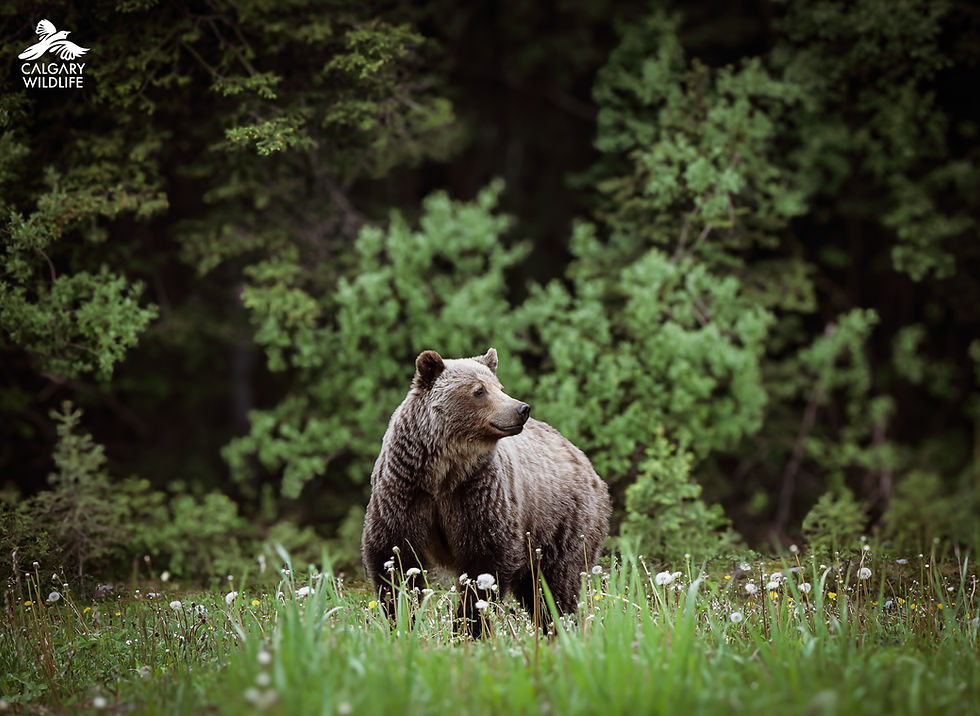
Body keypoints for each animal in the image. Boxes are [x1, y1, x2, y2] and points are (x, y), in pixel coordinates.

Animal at [361, 347, 611, 636]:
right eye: (479, 390)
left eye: (499, 387)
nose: (521, 409)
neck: (443, 472)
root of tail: (584, 459)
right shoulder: (405, 492)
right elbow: (395, 559)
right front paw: (399, 619)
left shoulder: (479, 494)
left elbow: (485, 563)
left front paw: (468, 626)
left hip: (562, 521)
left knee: (554, 584)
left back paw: (558, 627)